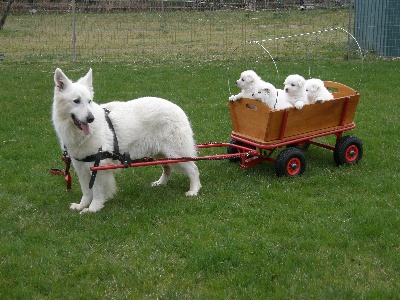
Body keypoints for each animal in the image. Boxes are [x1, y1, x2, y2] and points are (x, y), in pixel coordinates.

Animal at [52, 68, 202, 213]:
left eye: (89, 101)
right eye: (76, 101)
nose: (91, 118)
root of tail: (177, 107)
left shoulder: (99, 166)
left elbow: (97, 192)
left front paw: (93, 208)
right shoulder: (81, 167)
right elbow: (86, 191)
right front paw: (81, 205)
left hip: (176, 153)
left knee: (194, 169)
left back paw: (194, 190)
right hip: (161, 153)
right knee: (167, 168)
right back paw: (160, 183)